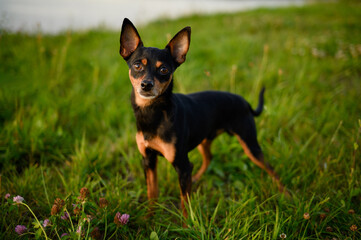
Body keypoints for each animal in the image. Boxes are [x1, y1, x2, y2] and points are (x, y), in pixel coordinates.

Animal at [118, 17, 284, 222]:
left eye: (164, 69)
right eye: (137, 66)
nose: (146, 84)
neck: (153, 114)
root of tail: (245, 102)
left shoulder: (181, 165)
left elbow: (184, 202)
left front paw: (186, 224)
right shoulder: (148, 160)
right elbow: (152, 193)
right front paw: (149, 218)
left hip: (250, 144)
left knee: (271, 168)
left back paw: (286, 194)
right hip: (205, 140)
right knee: (208, 158)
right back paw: (196, 178)